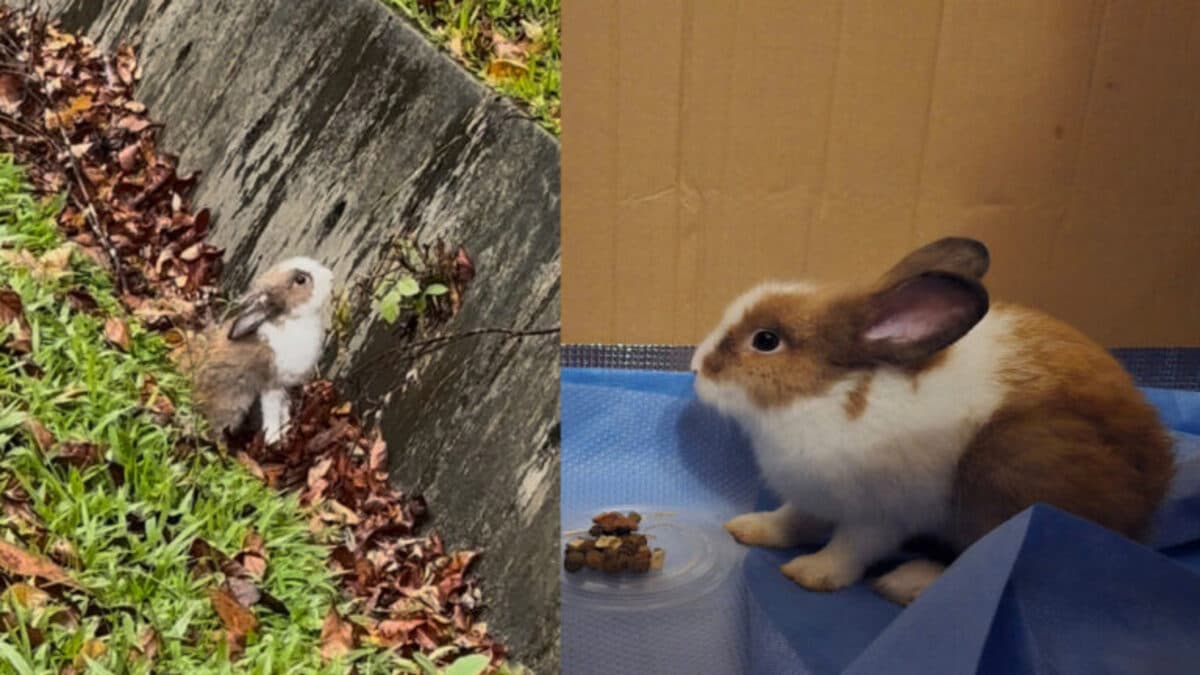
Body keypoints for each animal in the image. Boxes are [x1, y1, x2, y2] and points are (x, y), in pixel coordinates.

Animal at [186, 256, 333, 444]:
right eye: (301, 280)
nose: (331, 276)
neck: (293, 320)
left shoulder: (283, 386)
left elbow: (283, 409)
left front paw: (286, 429)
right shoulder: (271, 385)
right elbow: (272, 412)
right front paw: (273, 440)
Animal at [690, 237, 1174, 605]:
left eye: (766, 340)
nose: (696, 367)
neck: (831, 394)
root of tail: (1150, 497)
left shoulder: (880, 515)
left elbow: (851, 548)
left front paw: (810, 573)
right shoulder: (811, 494)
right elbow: (792, 518)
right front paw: (750, 529)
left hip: (1007, 470)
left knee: (988, 556)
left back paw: (907, 583)